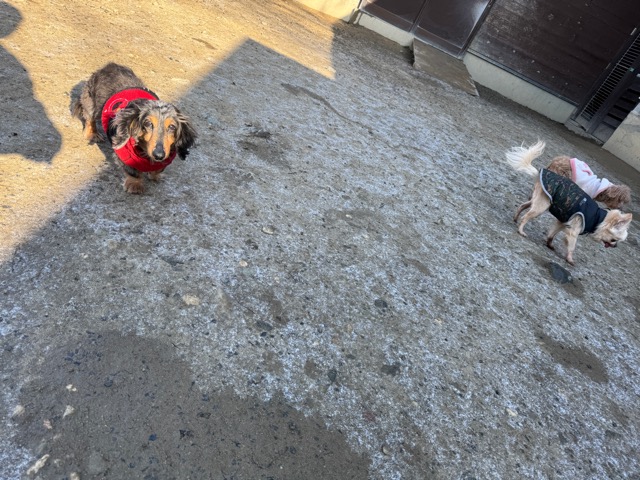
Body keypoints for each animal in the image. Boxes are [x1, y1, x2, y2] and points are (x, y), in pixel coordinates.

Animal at [72, 63, 197, 193]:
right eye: (148, 123)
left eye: (172, 127)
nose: (159, 155)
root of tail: (110, 65)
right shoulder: (125, 155)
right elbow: (132, 171)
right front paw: (135, 185)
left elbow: (159, 169)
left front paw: (155, 175)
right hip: (90, 102)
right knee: (89, 118)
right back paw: (93, 134)